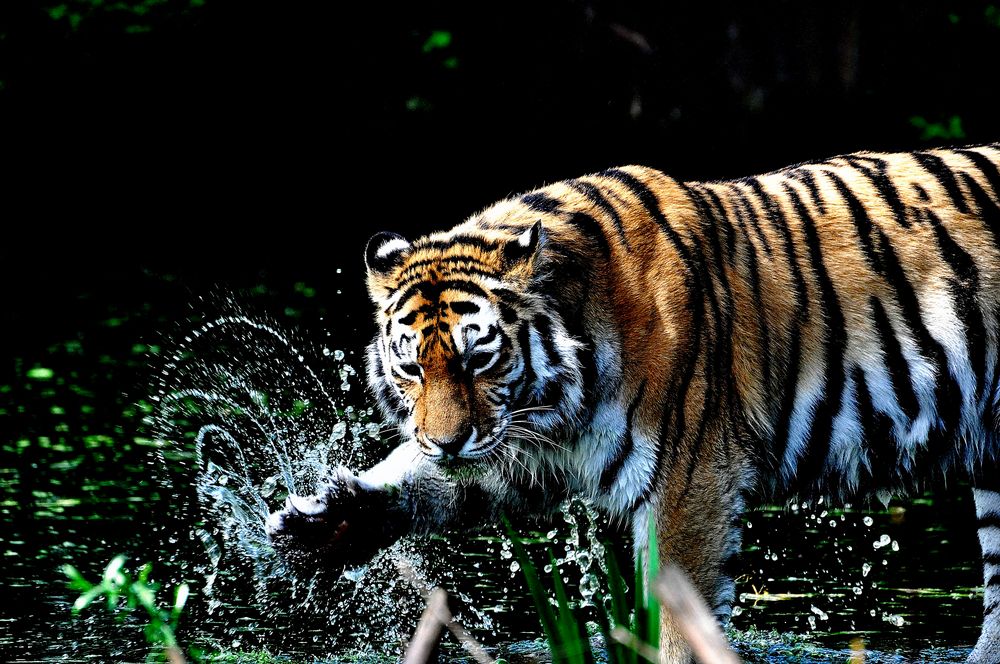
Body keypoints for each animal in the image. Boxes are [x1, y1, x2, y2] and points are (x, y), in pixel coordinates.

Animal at [266, 143, 1000, 660]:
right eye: (413, 367)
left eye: (480, 359)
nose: (445, 440)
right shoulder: (525, 450)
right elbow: (423, 480)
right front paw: (325, 520)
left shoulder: (688, 483)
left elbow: (678, 622)